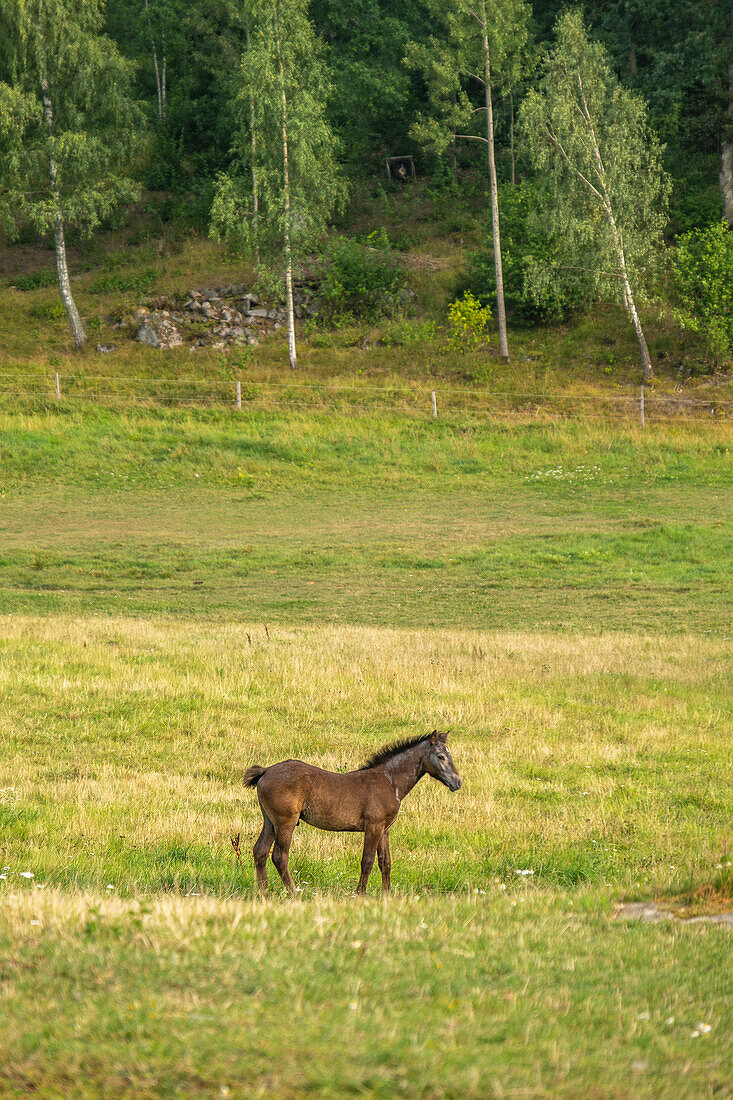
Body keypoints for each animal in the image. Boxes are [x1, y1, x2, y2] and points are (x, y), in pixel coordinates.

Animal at [242, 730, 460, 893]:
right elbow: (368, 861)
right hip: (285, 822)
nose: (458, 782)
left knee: (260, 851)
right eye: (441, 756)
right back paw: (294, 892)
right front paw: (360, 894)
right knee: (280, 856)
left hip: (270, 821)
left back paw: (264, 893)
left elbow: (385, 862)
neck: (389, 781)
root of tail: (265, 771)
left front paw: (387, 895)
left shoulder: (385, 829)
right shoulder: (373, 827)